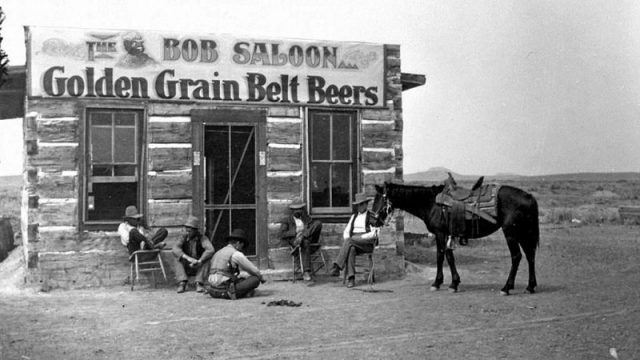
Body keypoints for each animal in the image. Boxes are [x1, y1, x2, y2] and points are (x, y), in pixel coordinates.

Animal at [370, 181, 540, 294]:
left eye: (379, 199)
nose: (372, 221)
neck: (431, 203)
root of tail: (529, 196)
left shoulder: (440, 233)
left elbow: (440, 256)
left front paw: (438, 283)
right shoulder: (446, 234)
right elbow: (449, 256)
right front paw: (454, 282)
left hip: (511, 232)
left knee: (516, 256)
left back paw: (506, 287)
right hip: (523, 232)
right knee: (530, 255)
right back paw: (530, 286)